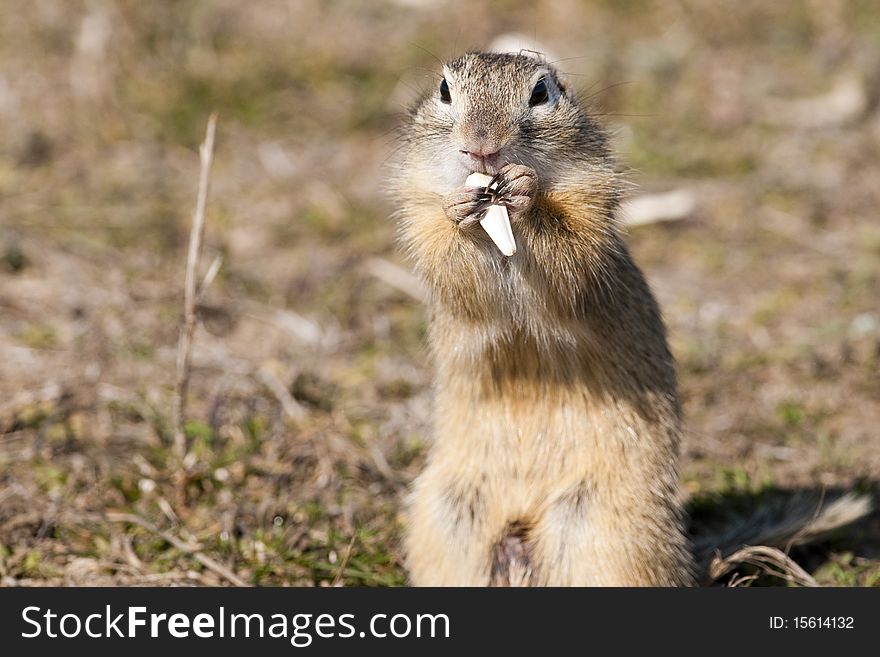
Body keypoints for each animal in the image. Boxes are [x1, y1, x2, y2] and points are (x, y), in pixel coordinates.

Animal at [390, 50, 868, 584]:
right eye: (444, 90)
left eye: (541, 93)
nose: (481, 149)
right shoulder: (419, 214)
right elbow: (450, 262)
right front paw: (459, 209)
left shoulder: (591, 208)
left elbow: (570, 254)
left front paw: (525, 191)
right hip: (447, 519)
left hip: (608, 534)